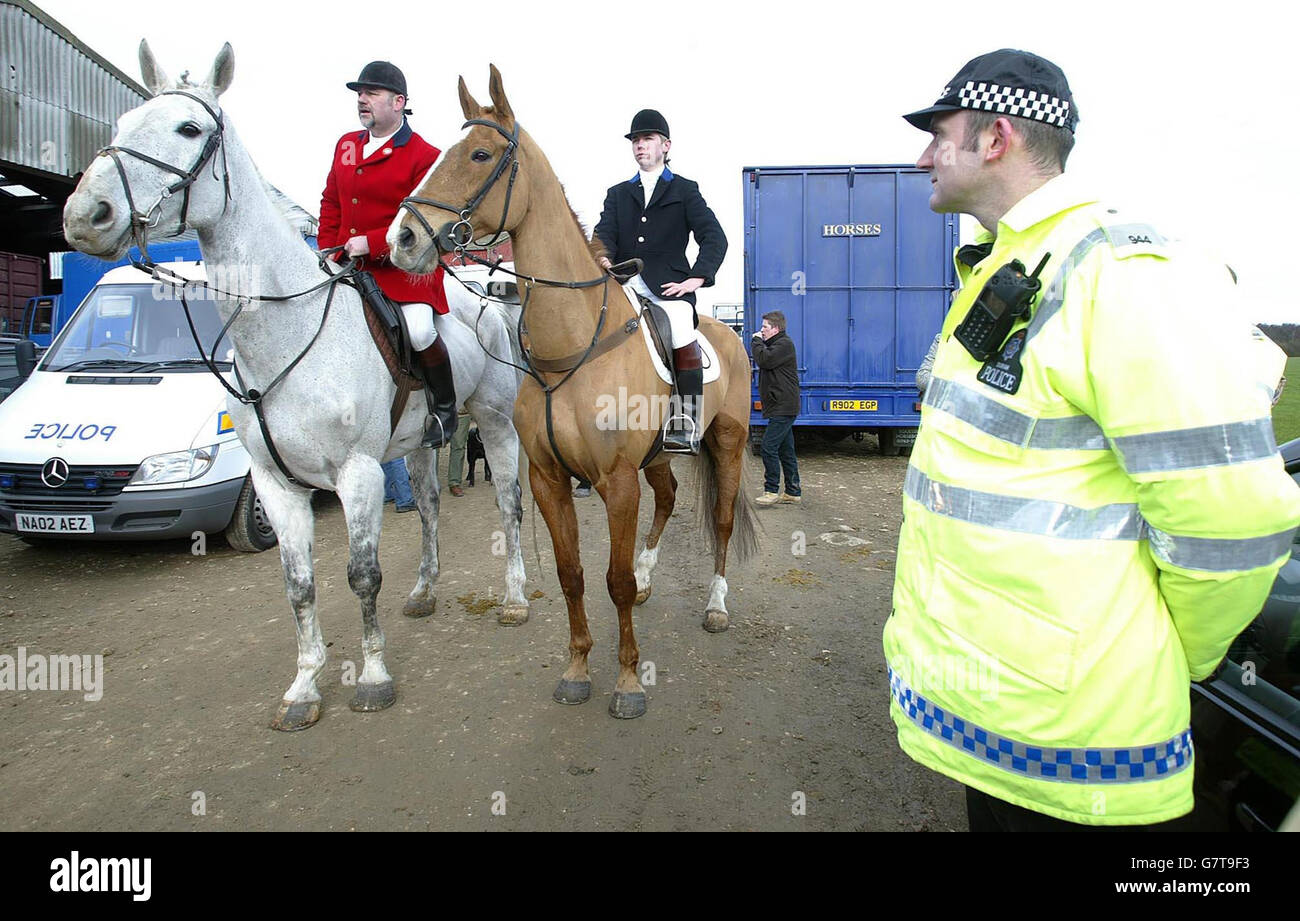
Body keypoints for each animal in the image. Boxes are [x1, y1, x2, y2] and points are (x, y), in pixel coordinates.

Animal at [63, 44, 530, 733]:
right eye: (122, 123)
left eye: (189, 129)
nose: (84, 216)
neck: (285, 333)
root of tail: (488, 298)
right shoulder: (274, 484)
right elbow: (298, 584)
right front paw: (305, 686)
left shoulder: (357, 472)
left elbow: (362, 575)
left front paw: (373, 677)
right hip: (421, 441)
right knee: (428, 508)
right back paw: (424, 591)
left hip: (493, 422)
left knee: (507, 504)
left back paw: (516, 596)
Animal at [384, 68, 759, 723]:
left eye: (479, 154)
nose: (401, 239)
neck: (573, 348)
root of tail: (728, 332)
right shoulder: (549, 479)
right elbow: (571, 574)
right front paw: (578, 669)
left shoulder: (616, 480)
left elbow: (612, 582)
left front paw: (628, 682)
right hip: (657, 457)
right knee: (668, 498)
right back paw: (651, 574)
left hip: (728, 443)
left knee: (719, 520)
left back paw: (714, 605)